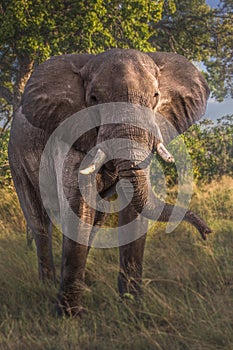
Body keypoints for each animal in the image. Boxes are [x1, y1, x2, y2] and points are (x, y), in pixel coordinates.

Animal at [8, 47, 211, 316]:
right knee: (38, 220)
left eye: (155, 96)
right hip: (16, 156)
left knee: (94, 223)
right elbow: (78, 203)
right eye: (94, 98)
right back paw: (47, 285)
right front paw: (69, 316)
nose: (207, 233)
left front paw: (133, 305)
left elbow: (132, 209)